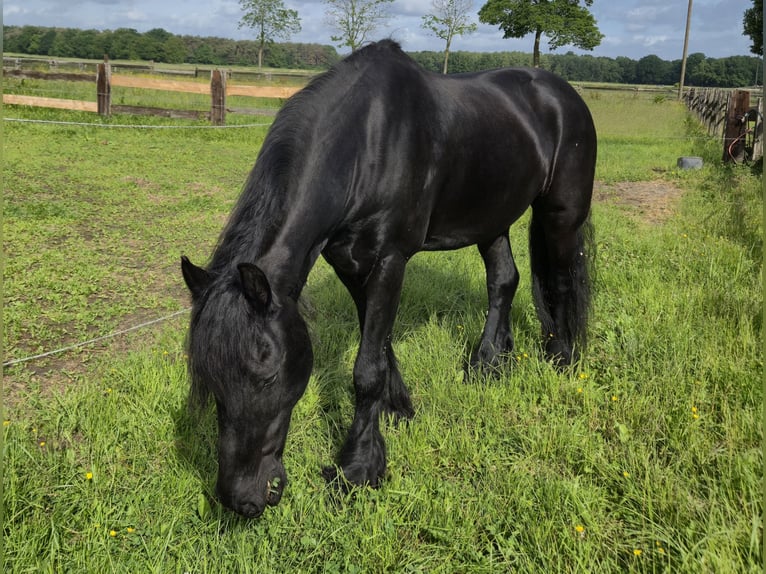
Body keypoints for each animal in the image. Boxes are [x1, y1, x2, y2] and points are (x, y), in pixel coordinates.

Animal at [181, 40, 596, 518]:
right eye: (210, 379)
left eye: (266, 377)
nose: (242, 500)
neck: (368, 142)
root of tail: (563, 93)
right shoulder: (350, 264)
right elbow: (380, 344)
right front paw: (398, 410)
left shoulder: (390, 260)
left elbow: (366, 368)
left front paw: (358, 468)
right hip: (492, 217)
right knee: (504, 280)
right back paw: (489, 363)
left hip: (560, 215)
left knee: (560, 281)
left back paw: (561, 359)